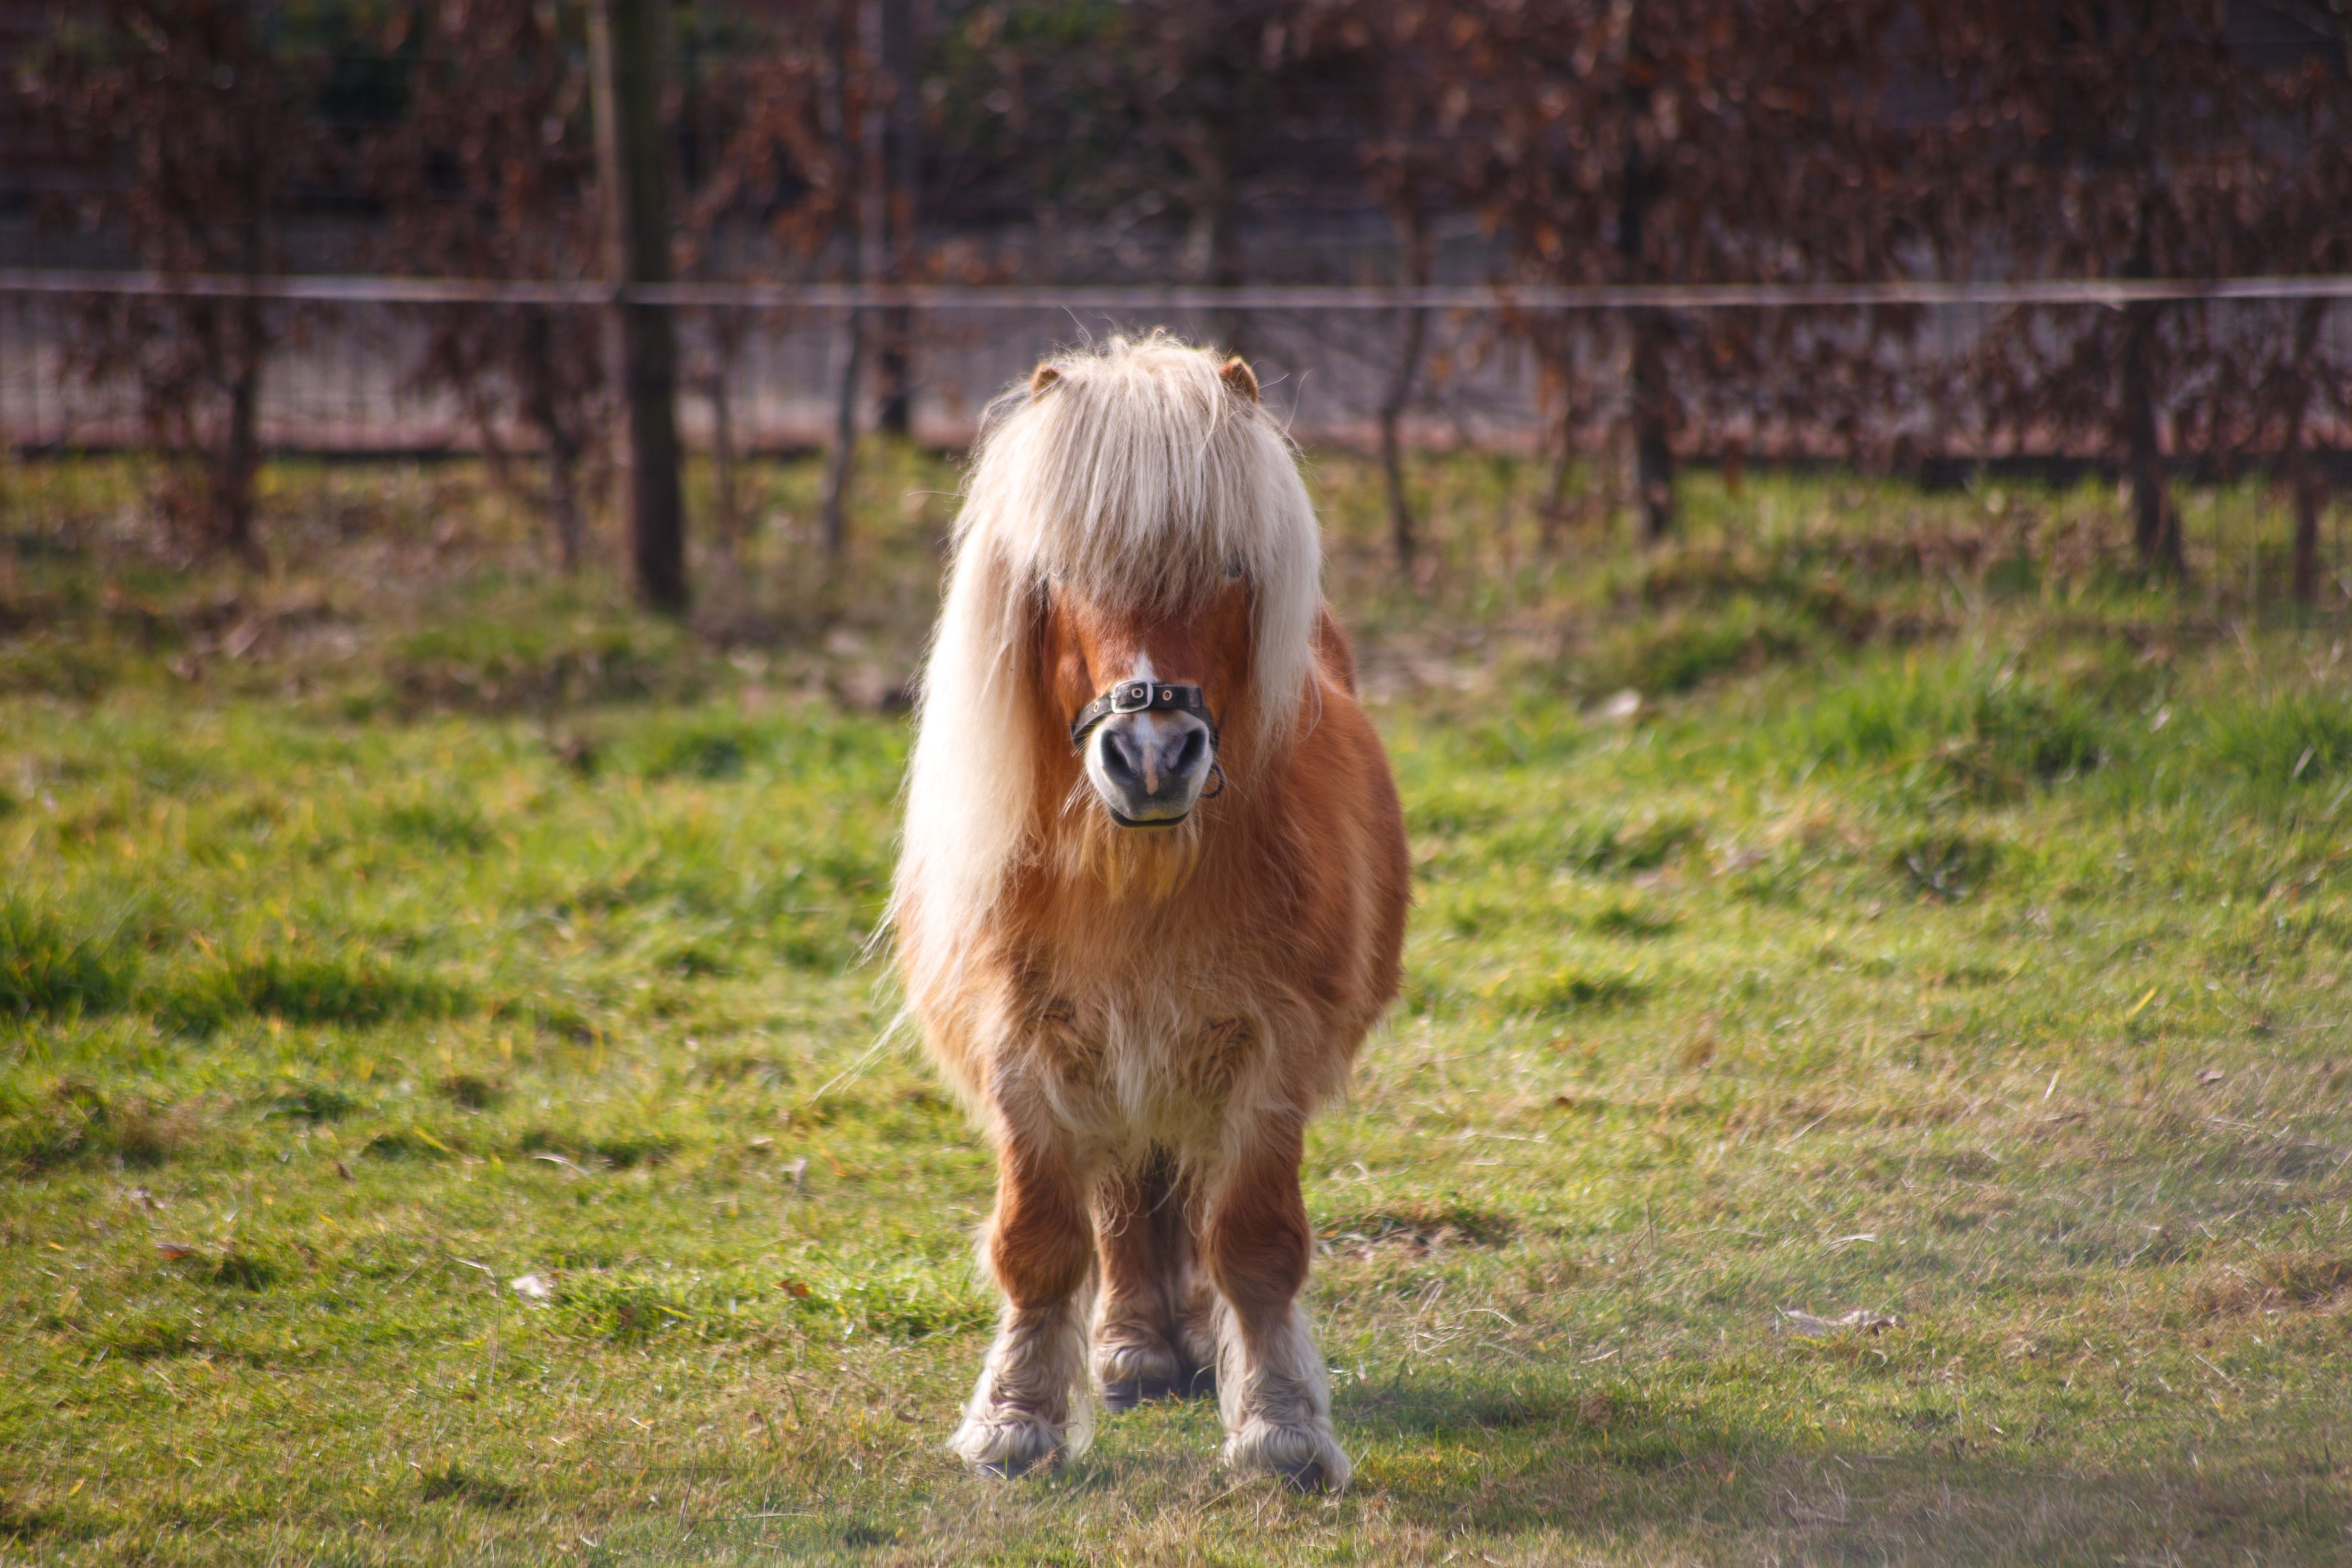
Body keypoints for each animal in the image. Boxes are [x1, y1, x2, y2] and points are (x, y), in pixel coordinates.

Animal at [889, 333, 1409, 1492]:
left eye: (1231, 568)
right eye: (1054, 574)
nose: (1153, 755)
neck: (1141, 878)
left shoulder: (1268, 1053)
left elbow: (1253, 1238)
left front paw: (1278, 1424)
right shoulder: (1027, 1048)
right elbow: (1039, 1238)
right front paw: (1017, 1417)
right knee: (1132, 1195)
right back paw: (1134, 1347)